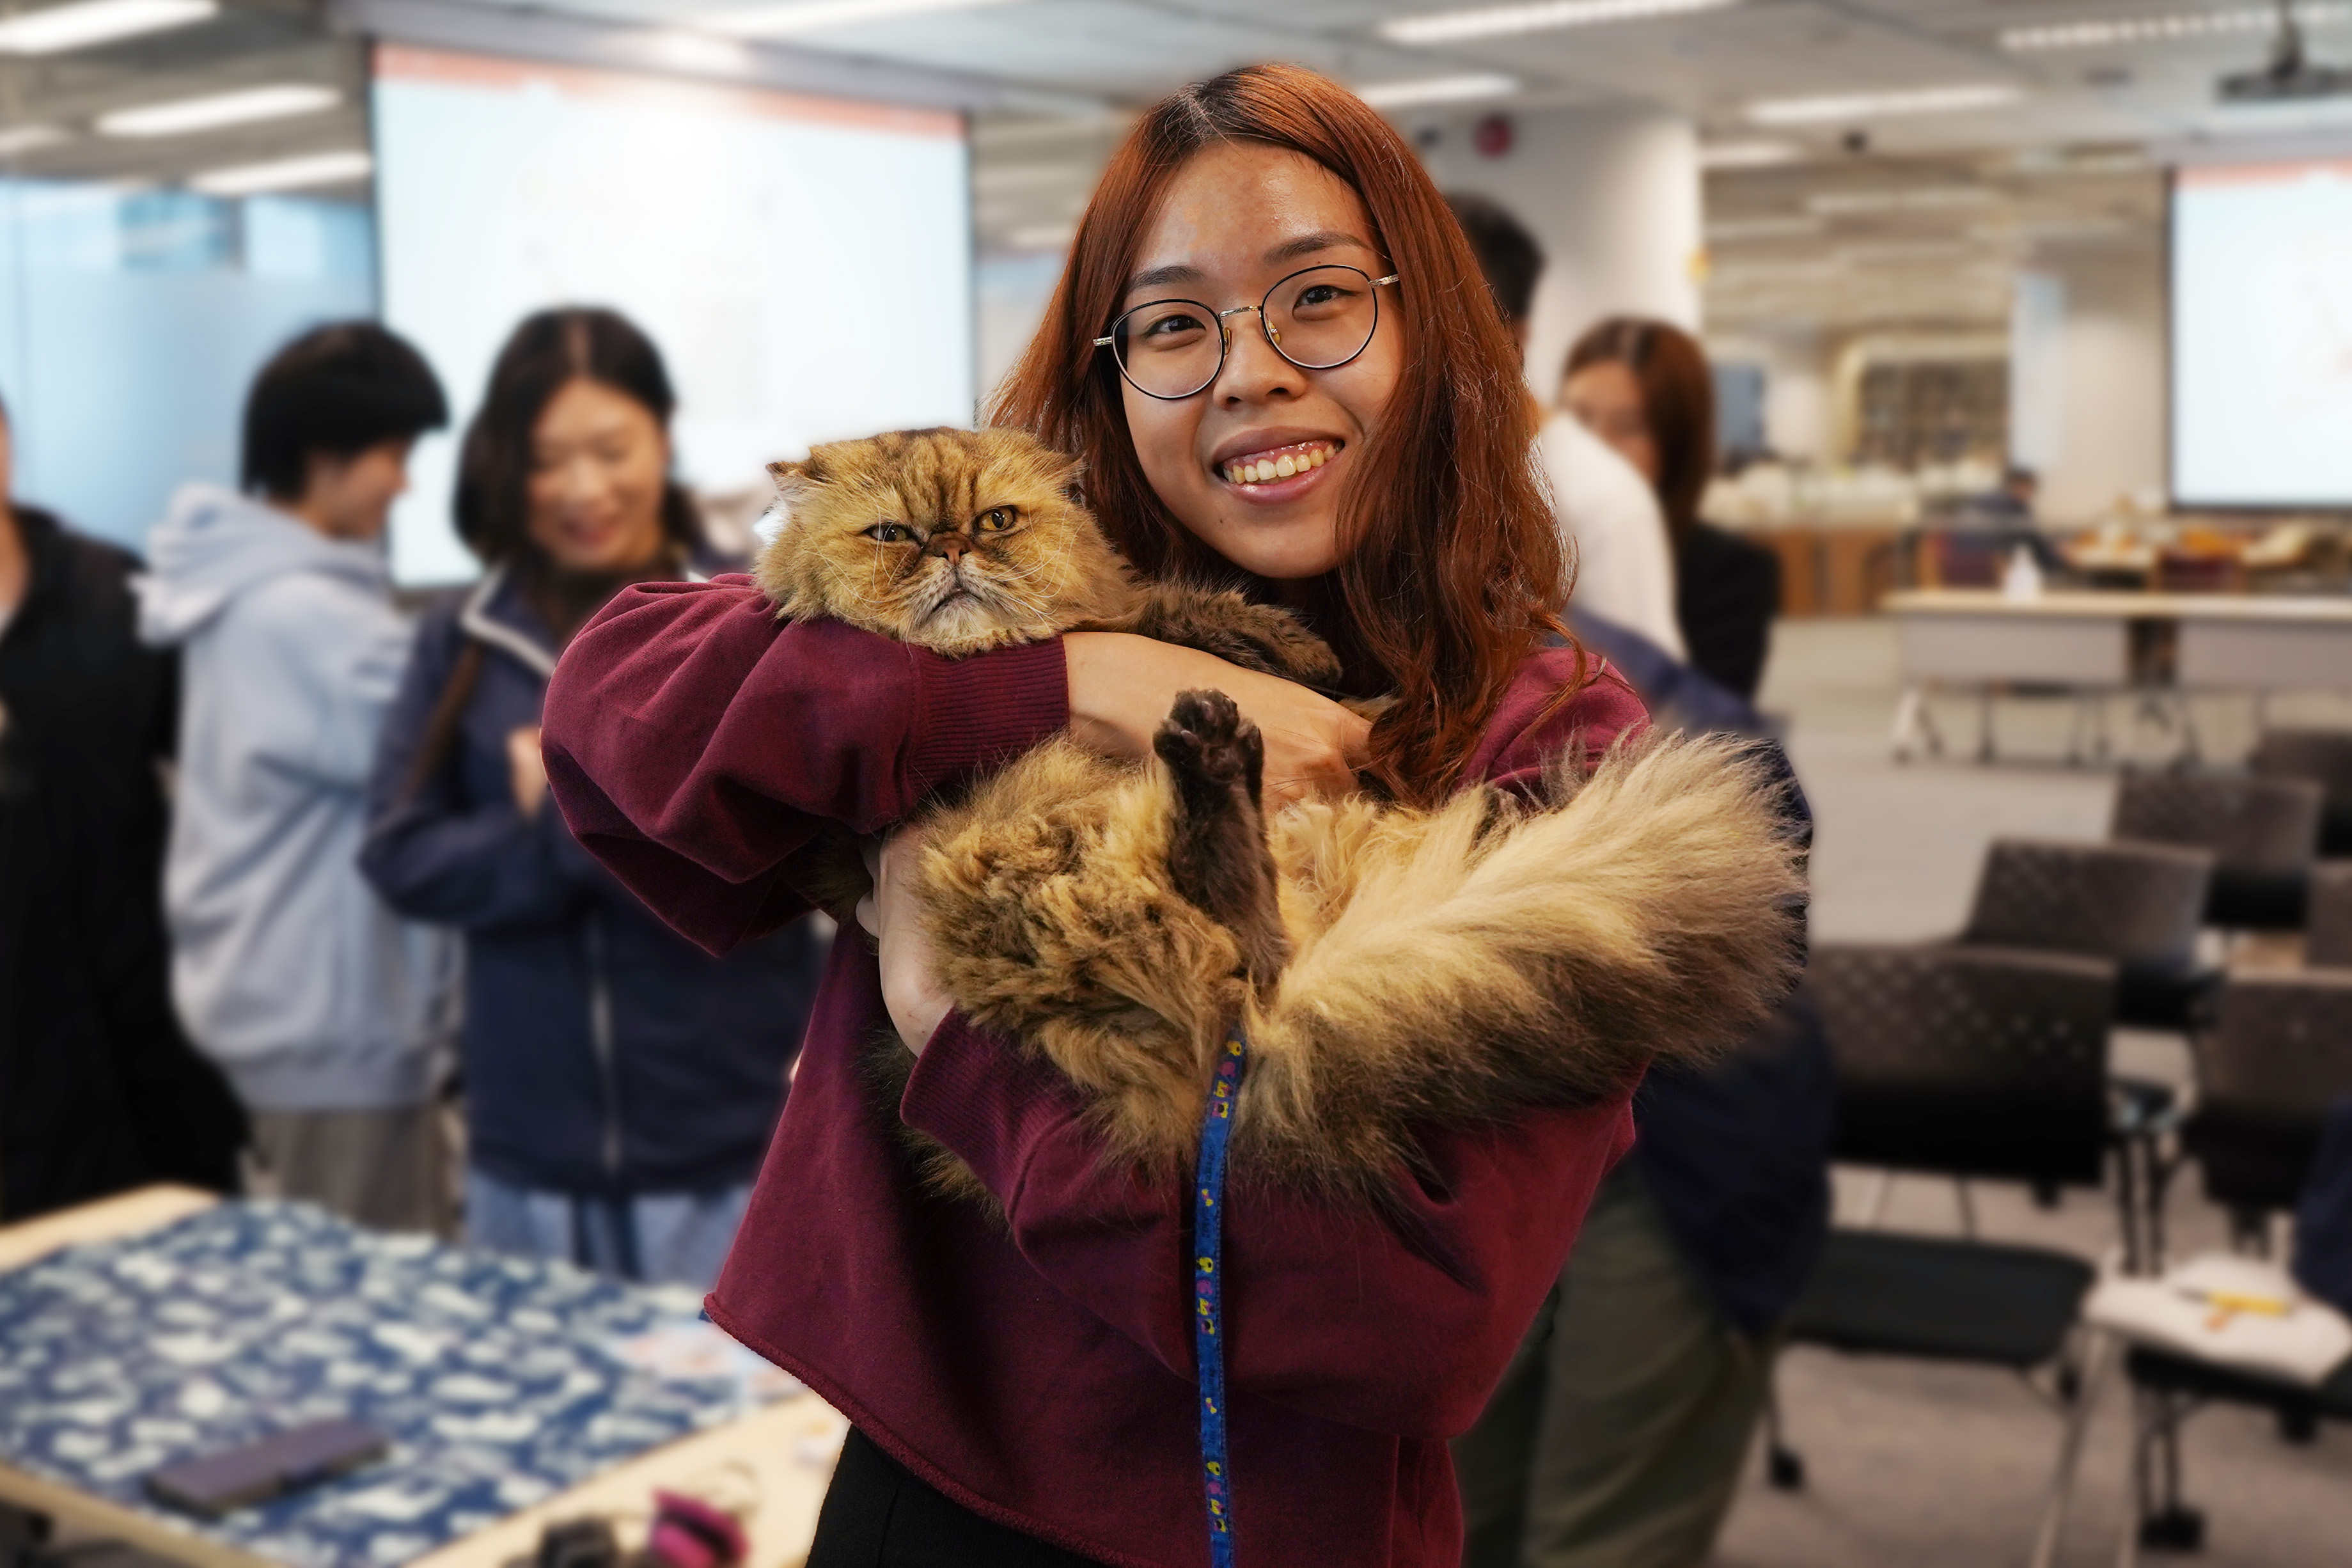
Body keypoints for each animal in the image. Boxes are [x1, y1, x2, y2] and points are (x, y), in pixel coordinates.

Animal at [752, 425, 1796, 1203]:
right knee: (1241, 949)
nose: (953, 551)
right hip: (1030, 867)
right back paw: (1217, 787)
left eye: (997, 522)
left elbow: (1169, 608)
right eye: (893, 536)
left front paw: (1293, 651)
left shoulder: (1134, 608)